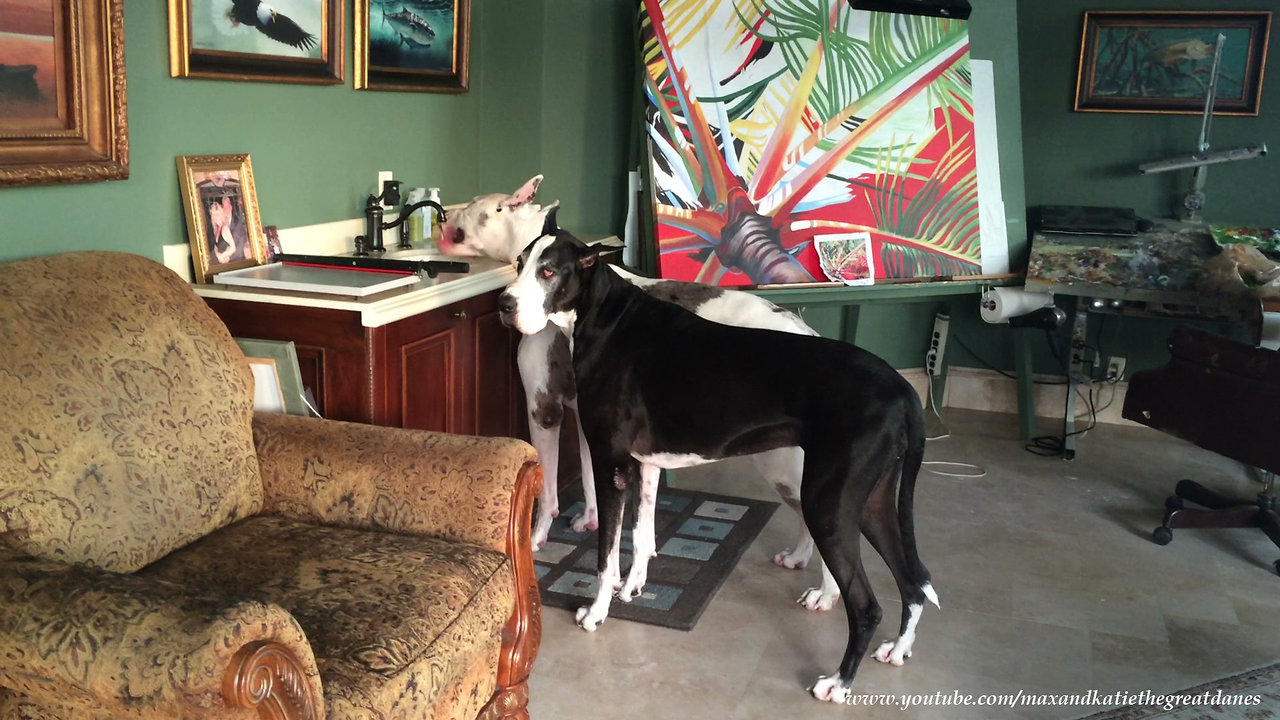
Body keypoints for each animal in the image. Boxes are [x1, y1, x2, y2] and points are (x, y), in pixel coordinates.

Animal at [437, 175, 931, 702]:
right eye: (520, 264)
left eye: (548, 272)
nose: (504, 305)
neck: (603, 312)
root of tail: (902, 389)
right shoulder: (644, 462)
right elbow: (640, 532)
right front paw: (633, 585)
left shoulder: (579, 438)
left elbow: (600, 546)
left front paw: (595, 606)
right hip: (872, 505)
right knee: (914, 581)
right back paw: (895, 646)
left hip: (827, 501)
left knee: (866, 601)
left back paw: (838, 677)